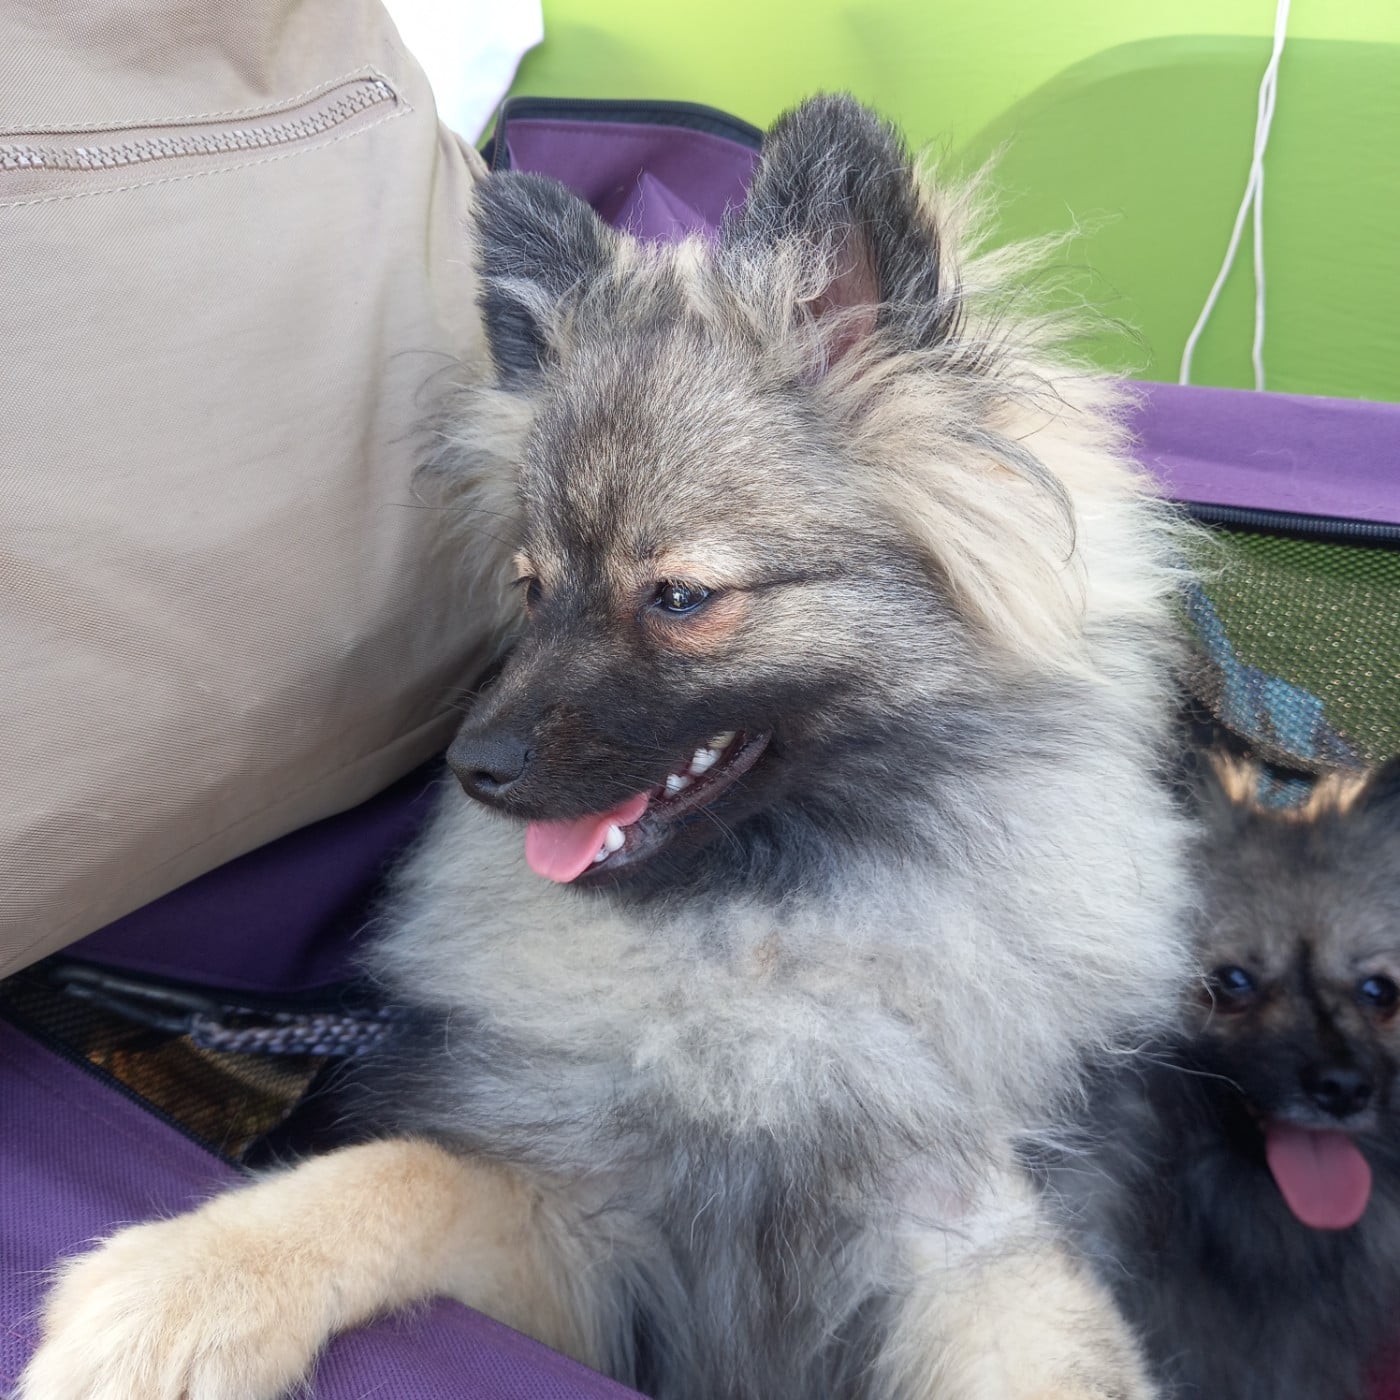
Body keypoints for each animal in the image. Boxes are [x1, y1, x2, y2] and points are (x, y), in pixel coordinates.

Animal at [19, 95, 1194, 1400]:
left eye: (678, 596)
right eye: (532, 588)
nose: (473, 769)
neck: (761, 934)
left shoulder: (964, 1236)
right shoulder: (586, 1234)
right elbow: (401, 1172)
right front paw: (181, 1291)